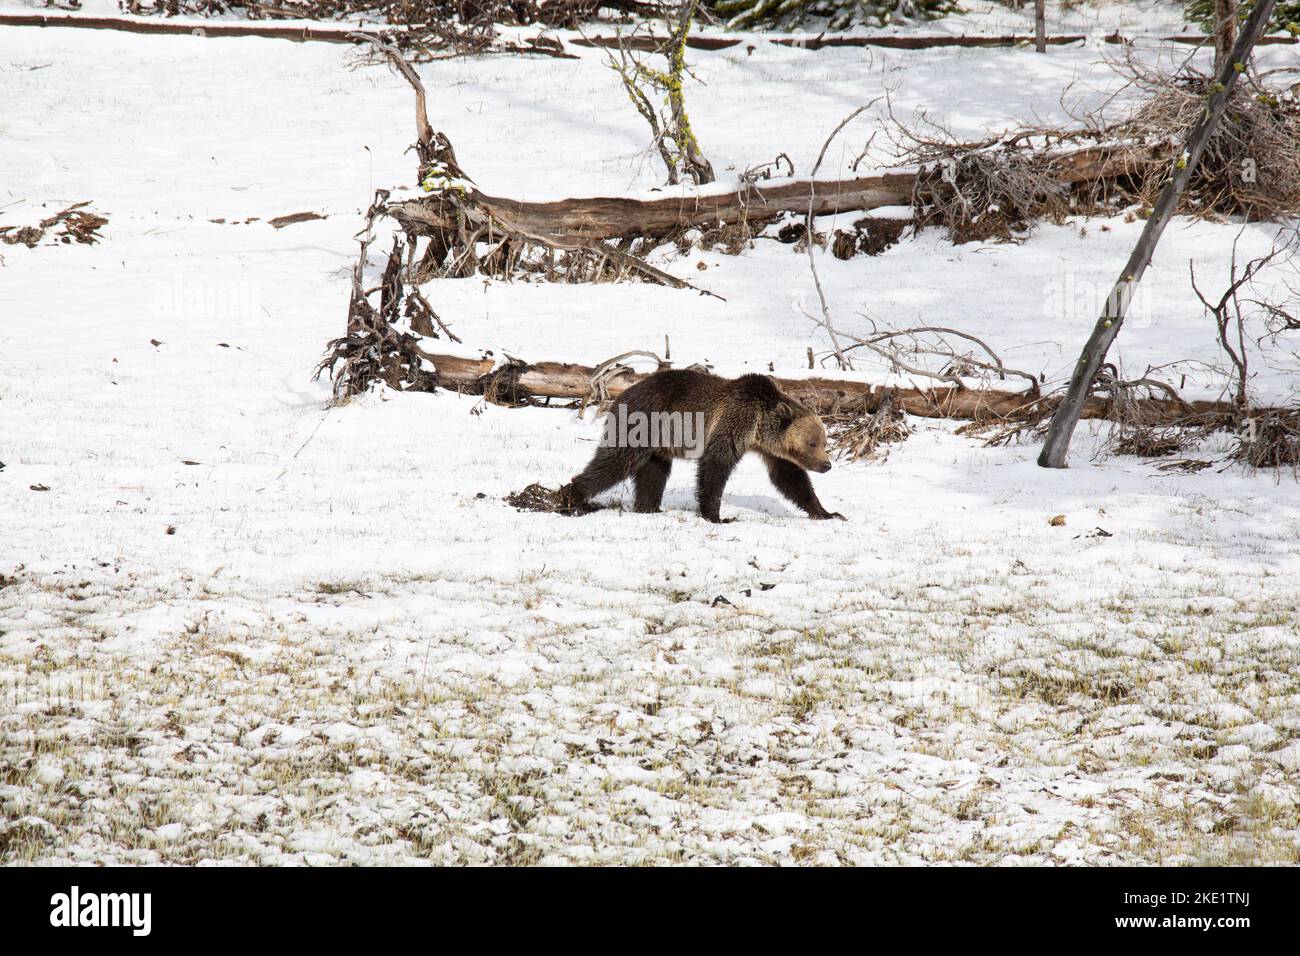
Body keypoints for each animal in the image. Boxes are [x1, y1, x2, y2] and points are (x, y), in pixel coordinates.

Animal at [564, 371, 847, 522]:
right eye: (812, 442)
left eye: (824, 441)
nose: (827, 464)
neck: (758, 428)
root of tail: (618, 396)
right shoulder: (735, 421)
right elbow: (715, 466)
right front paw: (717, 516)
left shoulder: (771, 450)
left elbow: (789, 477)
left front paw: (828, 512)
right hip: (642, 422)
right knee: (616, 462)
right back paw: (574, 497)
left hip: (659, 443)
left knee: (653, 474)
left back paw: (649, 507)